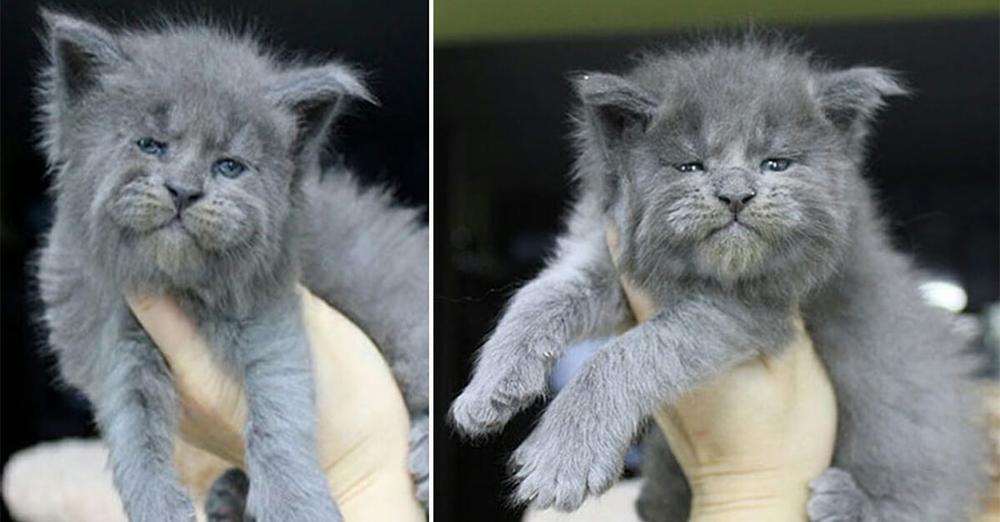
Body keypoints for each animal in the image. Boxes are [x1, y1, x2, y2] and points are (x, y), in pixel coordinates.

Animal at [32, 10, 426, 516]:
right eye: (150, 145)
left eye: (229, 166)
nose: (183, 189)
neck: (180, 284)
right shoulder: (112, 331)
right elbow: (131, 419)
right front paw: (157, 505)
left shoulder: (270, 316)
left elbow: (278, 409)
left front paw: (295, 504)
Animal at [450, 34, 988, 516]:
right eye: (690, 166)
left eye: (776, 163)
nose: (735, 193)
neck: (707, 273)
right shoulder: (615, 263)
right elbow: (540, 296)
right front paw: (487, 388)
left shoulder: (754, 309)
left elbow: (630, 353)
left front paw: (563, 458)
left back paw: (847, 503)